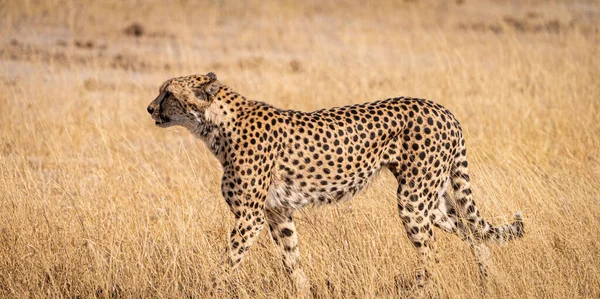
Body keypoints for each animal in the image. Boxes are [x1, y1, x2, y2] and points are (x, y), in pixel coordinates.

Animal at [148, 72, 524, 296]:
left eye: (168, 93)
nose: (150, 108)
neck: (215, 125)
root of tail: (442, 109)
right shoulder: (277, 213)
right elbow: (292, 261)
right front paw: (303, 291)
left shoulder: (250, 216)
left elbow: (228, 263)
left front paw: (209, 290)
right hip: (431, 198)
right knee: (472, 231)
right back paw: (490, 280)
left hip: (413, 199)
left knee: (432, 253)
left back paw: (421, 289)